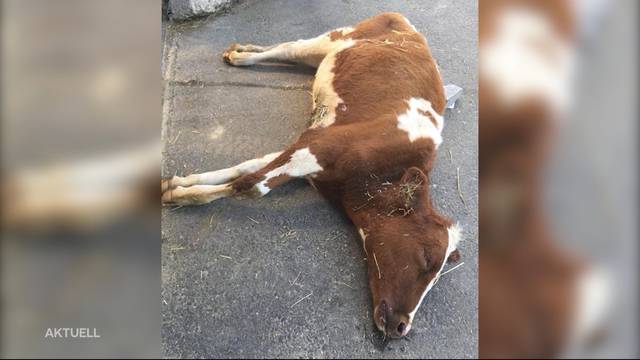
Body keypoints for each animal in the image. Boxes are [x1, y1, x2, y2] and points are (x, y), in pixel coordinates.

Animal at [159, 11, 460, 338]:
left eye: (438, 275)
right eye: (427, 257)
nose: (402, 327)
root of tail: (403, 21)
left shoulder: (309, 154)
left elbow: (246, 167)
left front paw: (177, 184)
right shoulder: (316, 145)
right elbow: (252, 185)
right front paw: (183, 195)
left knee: (288, 51)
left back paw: (240, 50)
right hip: (333, 38)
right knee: (290, 47)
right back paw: (241, 56)